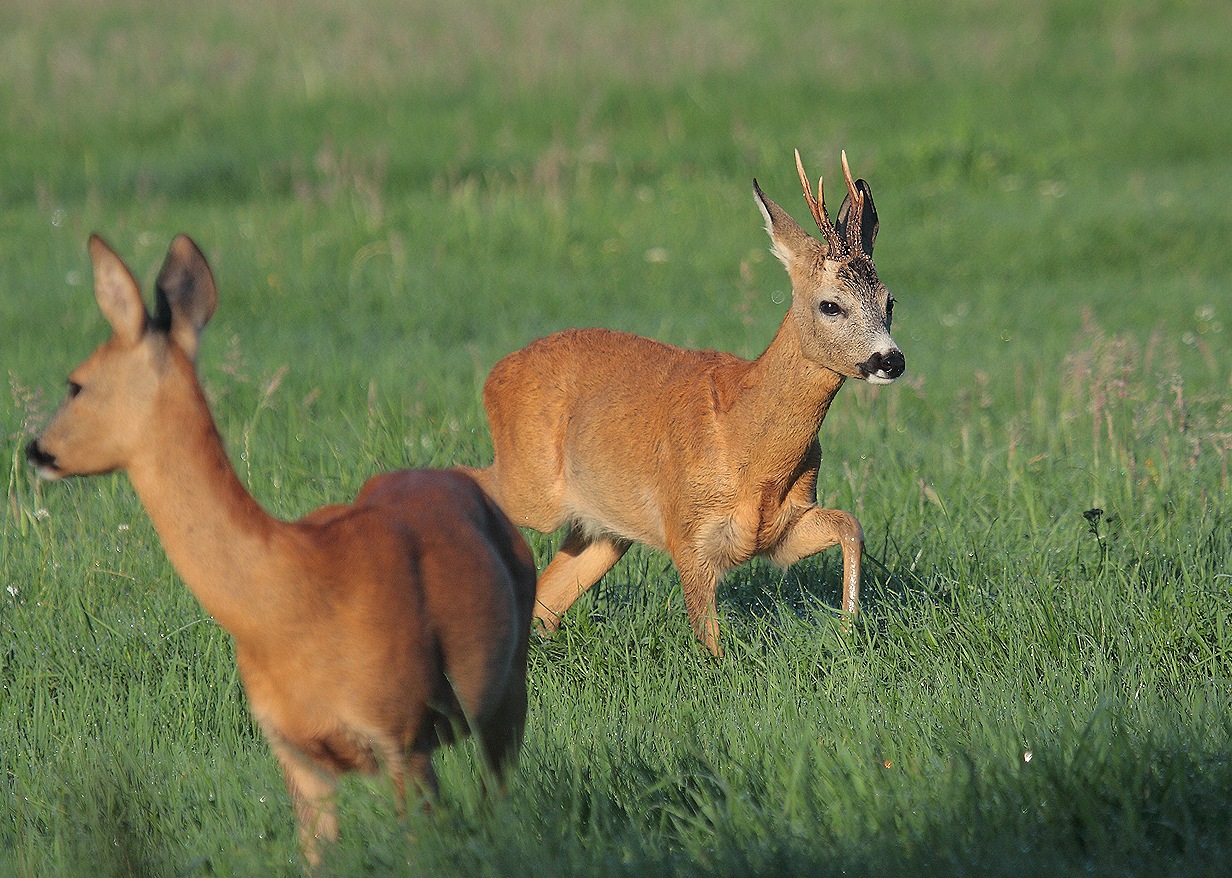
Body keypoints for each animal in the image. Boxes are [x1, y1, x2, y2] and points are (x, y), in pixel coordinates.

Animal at [26, 232, 537, 861]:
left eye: (75, 383)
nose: (34, 448)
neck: (292, 598)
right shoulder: (295, 753)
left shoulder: (402, 731)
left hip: (508, 689)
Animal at [465, 152, 901, 660]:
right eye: (831, 305)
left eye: (890, 301)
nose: (891, 360)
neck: (746, 444)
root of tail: (495, 374)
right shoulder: (687, 529)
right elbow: (710, 641)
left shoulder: (783, 528)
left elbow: (850, 525)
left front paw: (849, 630)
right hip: (532, 486)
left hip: (604, 528)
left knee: (548, 603)